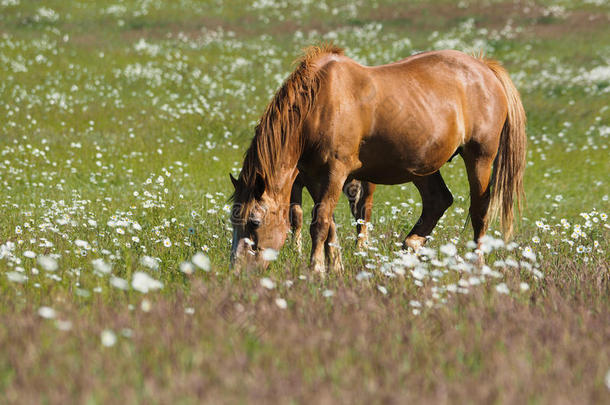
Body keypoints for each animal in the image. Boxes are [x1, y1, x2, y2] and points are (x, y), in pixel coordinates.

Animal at [230, 43, 524, 272]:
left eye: (254, 222)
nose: (238, 271)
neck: (319, 104)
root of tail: (484, 68)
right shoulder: (314, 178)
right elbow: (328, 224)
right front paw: (336, 268)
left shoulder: (335, 172)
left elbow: (320, 223)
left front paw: (316, 270)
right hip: (423, 167)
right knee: (438, 201)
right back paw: (409, 247)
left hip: (480, 157)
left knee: (479, 211)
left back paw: (476, 265)